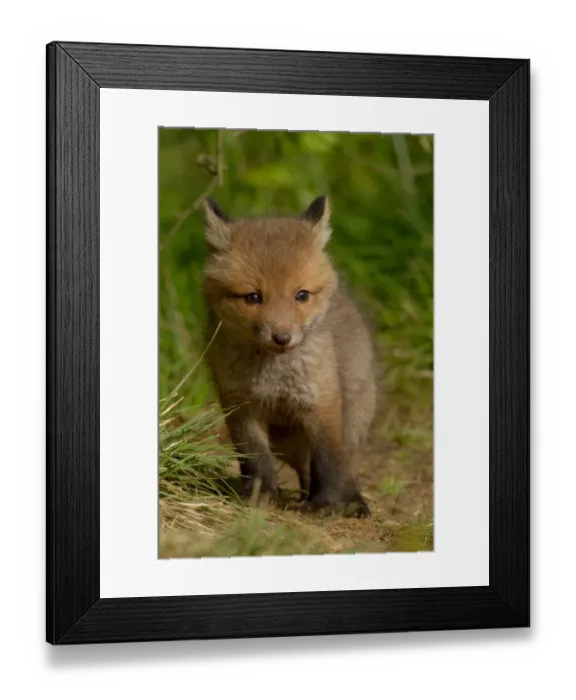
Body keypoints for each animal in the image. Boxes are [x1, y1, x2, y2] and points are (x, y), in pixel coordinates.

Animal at [201, 195, 377, 518]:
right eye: (253, 297)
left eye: (302, 295)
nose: (282, 338)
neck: (275, 377)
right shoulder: (241, 406)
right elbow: (255, 459)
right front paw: (260, 495)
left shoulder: (321, 403)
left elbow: (329, 462)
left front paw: (328, 504)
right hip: (286, 441)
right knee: (304, 470)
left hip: (352, 425)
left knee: (344, 467)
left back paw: (351, 502)